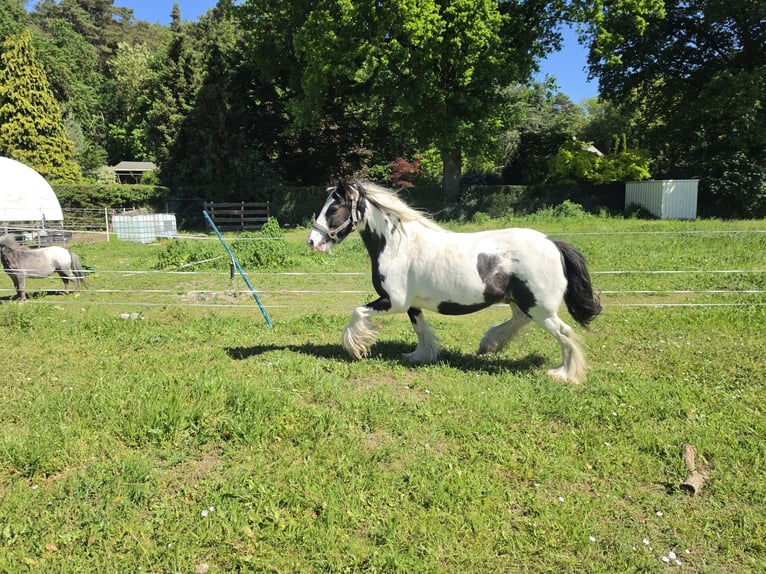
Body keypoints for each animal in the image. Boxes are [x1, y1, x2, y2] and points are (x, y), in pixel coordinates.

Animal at [306, 180, 602, 383]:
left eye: (334, 207)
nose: (312, 241)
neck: (398, 245)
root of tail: (553, 243)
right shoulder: (412, 305)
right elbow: (421, 330)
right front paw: (419, 356)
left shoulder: (393, 302)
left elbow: (356, 313)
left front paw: (356, 348)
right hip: (522, 302)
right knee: (520, 321)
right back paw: (489, 344)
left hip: (540, 308)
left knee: (565, 334)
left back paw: (564, 374)